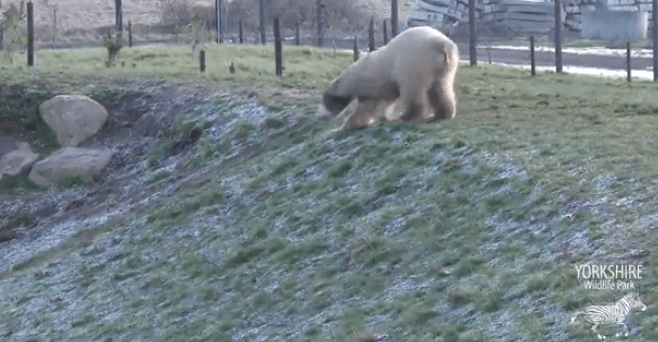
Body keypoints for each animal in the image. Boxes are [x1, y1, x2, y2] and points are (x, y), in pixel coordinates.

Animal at [320, 25, 458, 131]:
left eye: (326, 102)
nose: (321, 116)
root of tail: (441, 44)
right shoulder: (384, 86)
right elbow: (386, 101)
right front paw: (380, 119)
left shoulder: (371, 83)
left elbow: (369, 105)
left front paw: (350, 125)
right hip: (447, 66)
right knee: (442, 87)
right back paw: (442, 114)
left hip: (415, 62)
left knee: (413, 91)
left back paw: (407, 117)